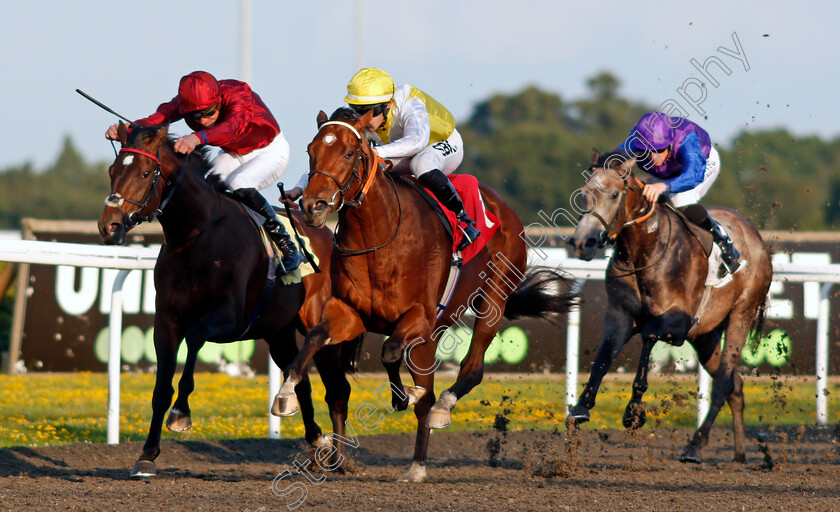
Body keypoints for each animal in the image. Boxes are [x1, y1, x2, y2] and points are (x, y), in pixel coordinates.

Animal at [98, 122, 360, 478]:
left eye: (145, 173)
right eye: (113, 171)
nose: (109, 226)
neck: (196, 235)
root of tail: (330, 236)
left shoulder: (228, 316)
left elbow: (195, 338)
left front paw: (181, 414)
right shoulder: (166, 320)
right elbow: (161, 388)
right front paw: (147, 455)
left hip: (321, 326)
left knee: (337, 390)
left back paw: (338, 459)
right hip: (277, 332)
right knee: (300, 378)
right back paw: (313, 437)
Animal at [274, 107, 576, 480]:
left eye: (348, 152)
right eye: (310, 151)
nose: (313, 205)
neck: (379, 239)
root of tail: (504, 209)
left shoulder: (419, 316)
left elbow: (390, 352)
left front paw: (404, 396)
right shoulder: (349, 312)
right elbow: (317, 337)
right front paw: (285, 394)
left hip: (492, 298)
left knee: (468, 371)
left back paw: (434, 424)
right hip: (434, 333)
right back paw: (414, 455)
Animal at [568, 149, 772, 464]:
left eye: (613, 194)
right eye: (583, 194)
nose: (583, 242)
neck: (645, 250)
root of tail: (758, 239)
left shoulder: (677, 322)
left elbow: (648, 336)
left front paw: (634, 413)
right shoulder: (619, 315)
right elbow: (603, 357)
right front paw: (581, 407)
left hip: (742, 313)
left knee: (724, 383)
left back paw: (694, 445)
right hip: (706, 335)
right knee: (734, 384)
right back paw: (739, 455)